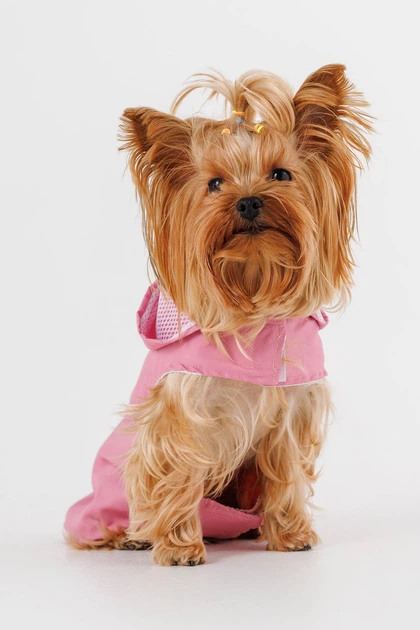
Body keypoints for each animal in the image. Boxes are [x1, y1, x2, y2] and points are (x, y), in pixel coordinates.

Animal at [65, 65, 372, 566]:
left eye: (281, 174)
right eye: (214, 184)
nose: (248, 201)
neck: (255, 295)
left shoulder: (290, 412)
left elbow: (286, 472)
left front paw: (292, 536)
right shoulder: (181, 414)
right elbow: (177, 471)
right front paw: (178, 547)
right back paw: (133, 535)